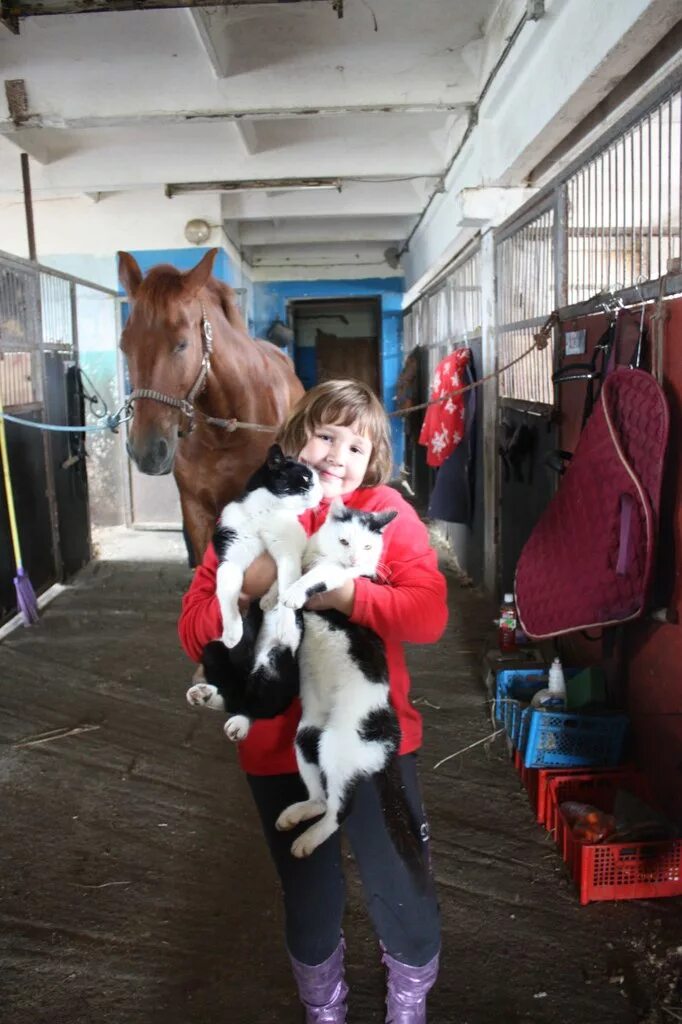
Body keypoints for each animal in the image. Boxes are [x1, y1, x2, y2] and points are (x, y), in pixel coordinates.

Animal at [272, 497, 425, 880]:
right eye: (345, 541)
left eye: (368, 547)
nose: (354, 558)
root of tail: (389, 744)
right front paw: (275, 598)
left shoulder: (348, 579)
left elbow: (318, 574)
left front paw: (293, 593)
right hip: (306, 736)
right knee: (322, 798)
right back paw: (299, 813)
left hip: (337, 746)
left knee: (340, 810)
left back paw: (308, 839)